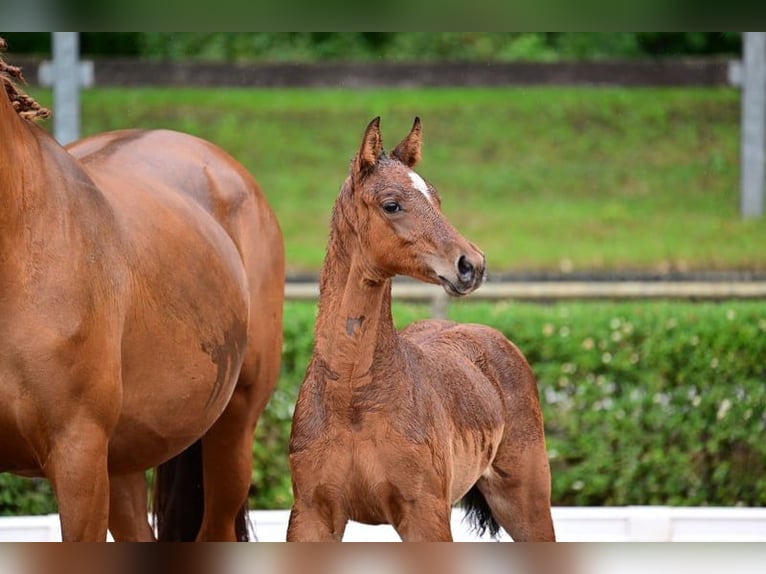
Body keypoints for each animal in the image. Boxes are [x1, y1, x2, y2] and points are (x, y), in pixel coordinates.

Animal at [286, 117, 555, 542]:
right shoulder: (311, 515)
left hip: (526, 502)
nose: (471, 264)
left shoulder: (425, 513)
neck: (353, 398)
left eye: (437, 198)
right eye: (391, 204)